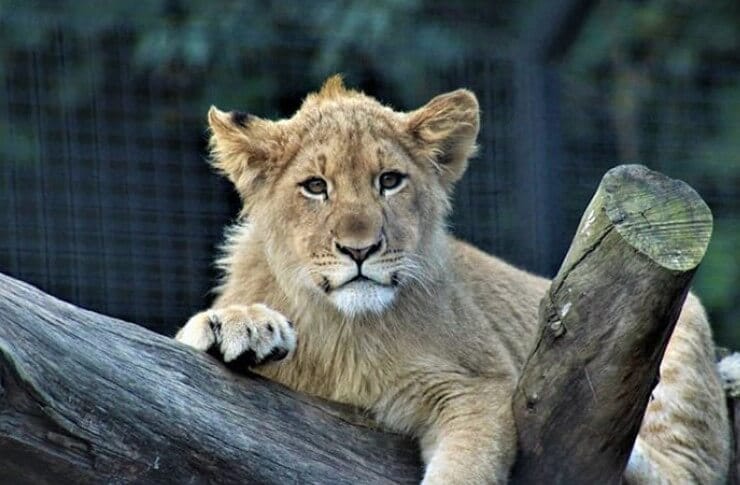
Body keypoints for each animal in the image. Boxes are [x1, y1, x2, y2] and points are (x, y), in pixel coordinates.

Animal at [176, 76, 730, 483]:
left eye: (389, 181)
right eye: (315, 186)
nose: (360, 250)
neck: (343, 329)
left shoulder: (475, 385)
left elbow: (467, 465)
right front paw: (239, 327)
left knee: (687, 472)